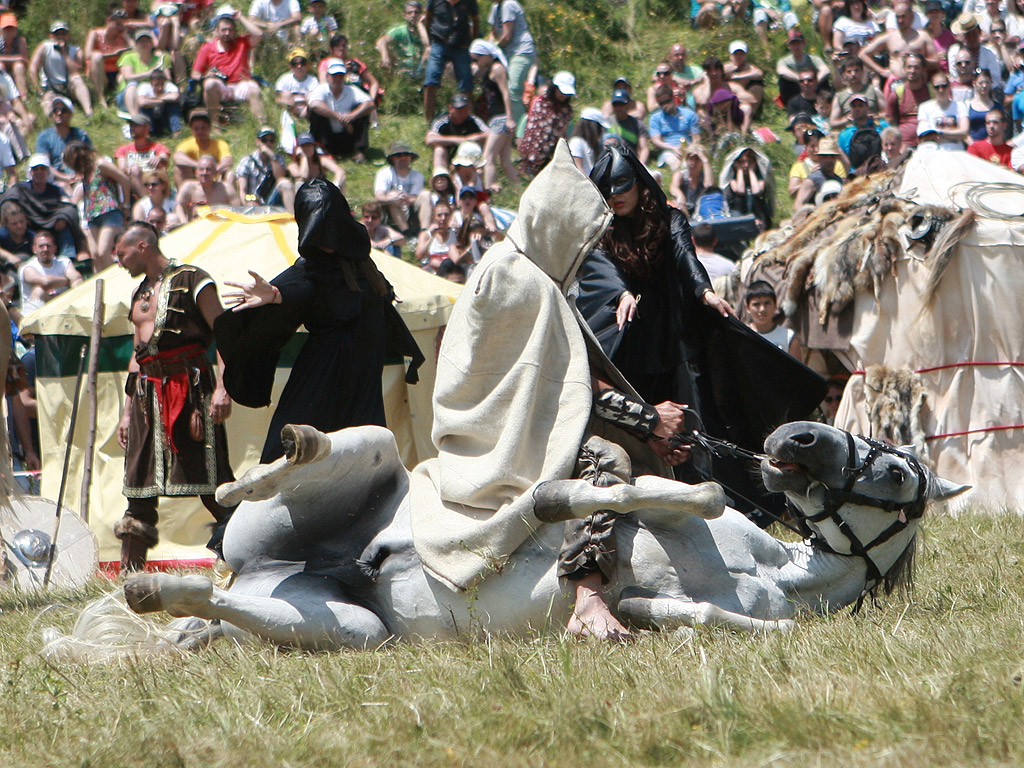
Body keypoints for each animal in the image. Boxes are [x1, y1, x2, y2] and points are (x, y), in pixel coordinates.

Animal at [83, 417, 962, 651]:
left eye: (898, 476)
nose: (794, 436)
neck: (773, 573)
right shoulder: (662, 509)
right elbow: (671, 494)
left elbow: (702, 615)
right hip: (367, 447)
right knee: (293, 465)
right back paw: (267, 464)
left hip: (350, 629)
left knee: (217, 598)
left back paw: (157, 587)